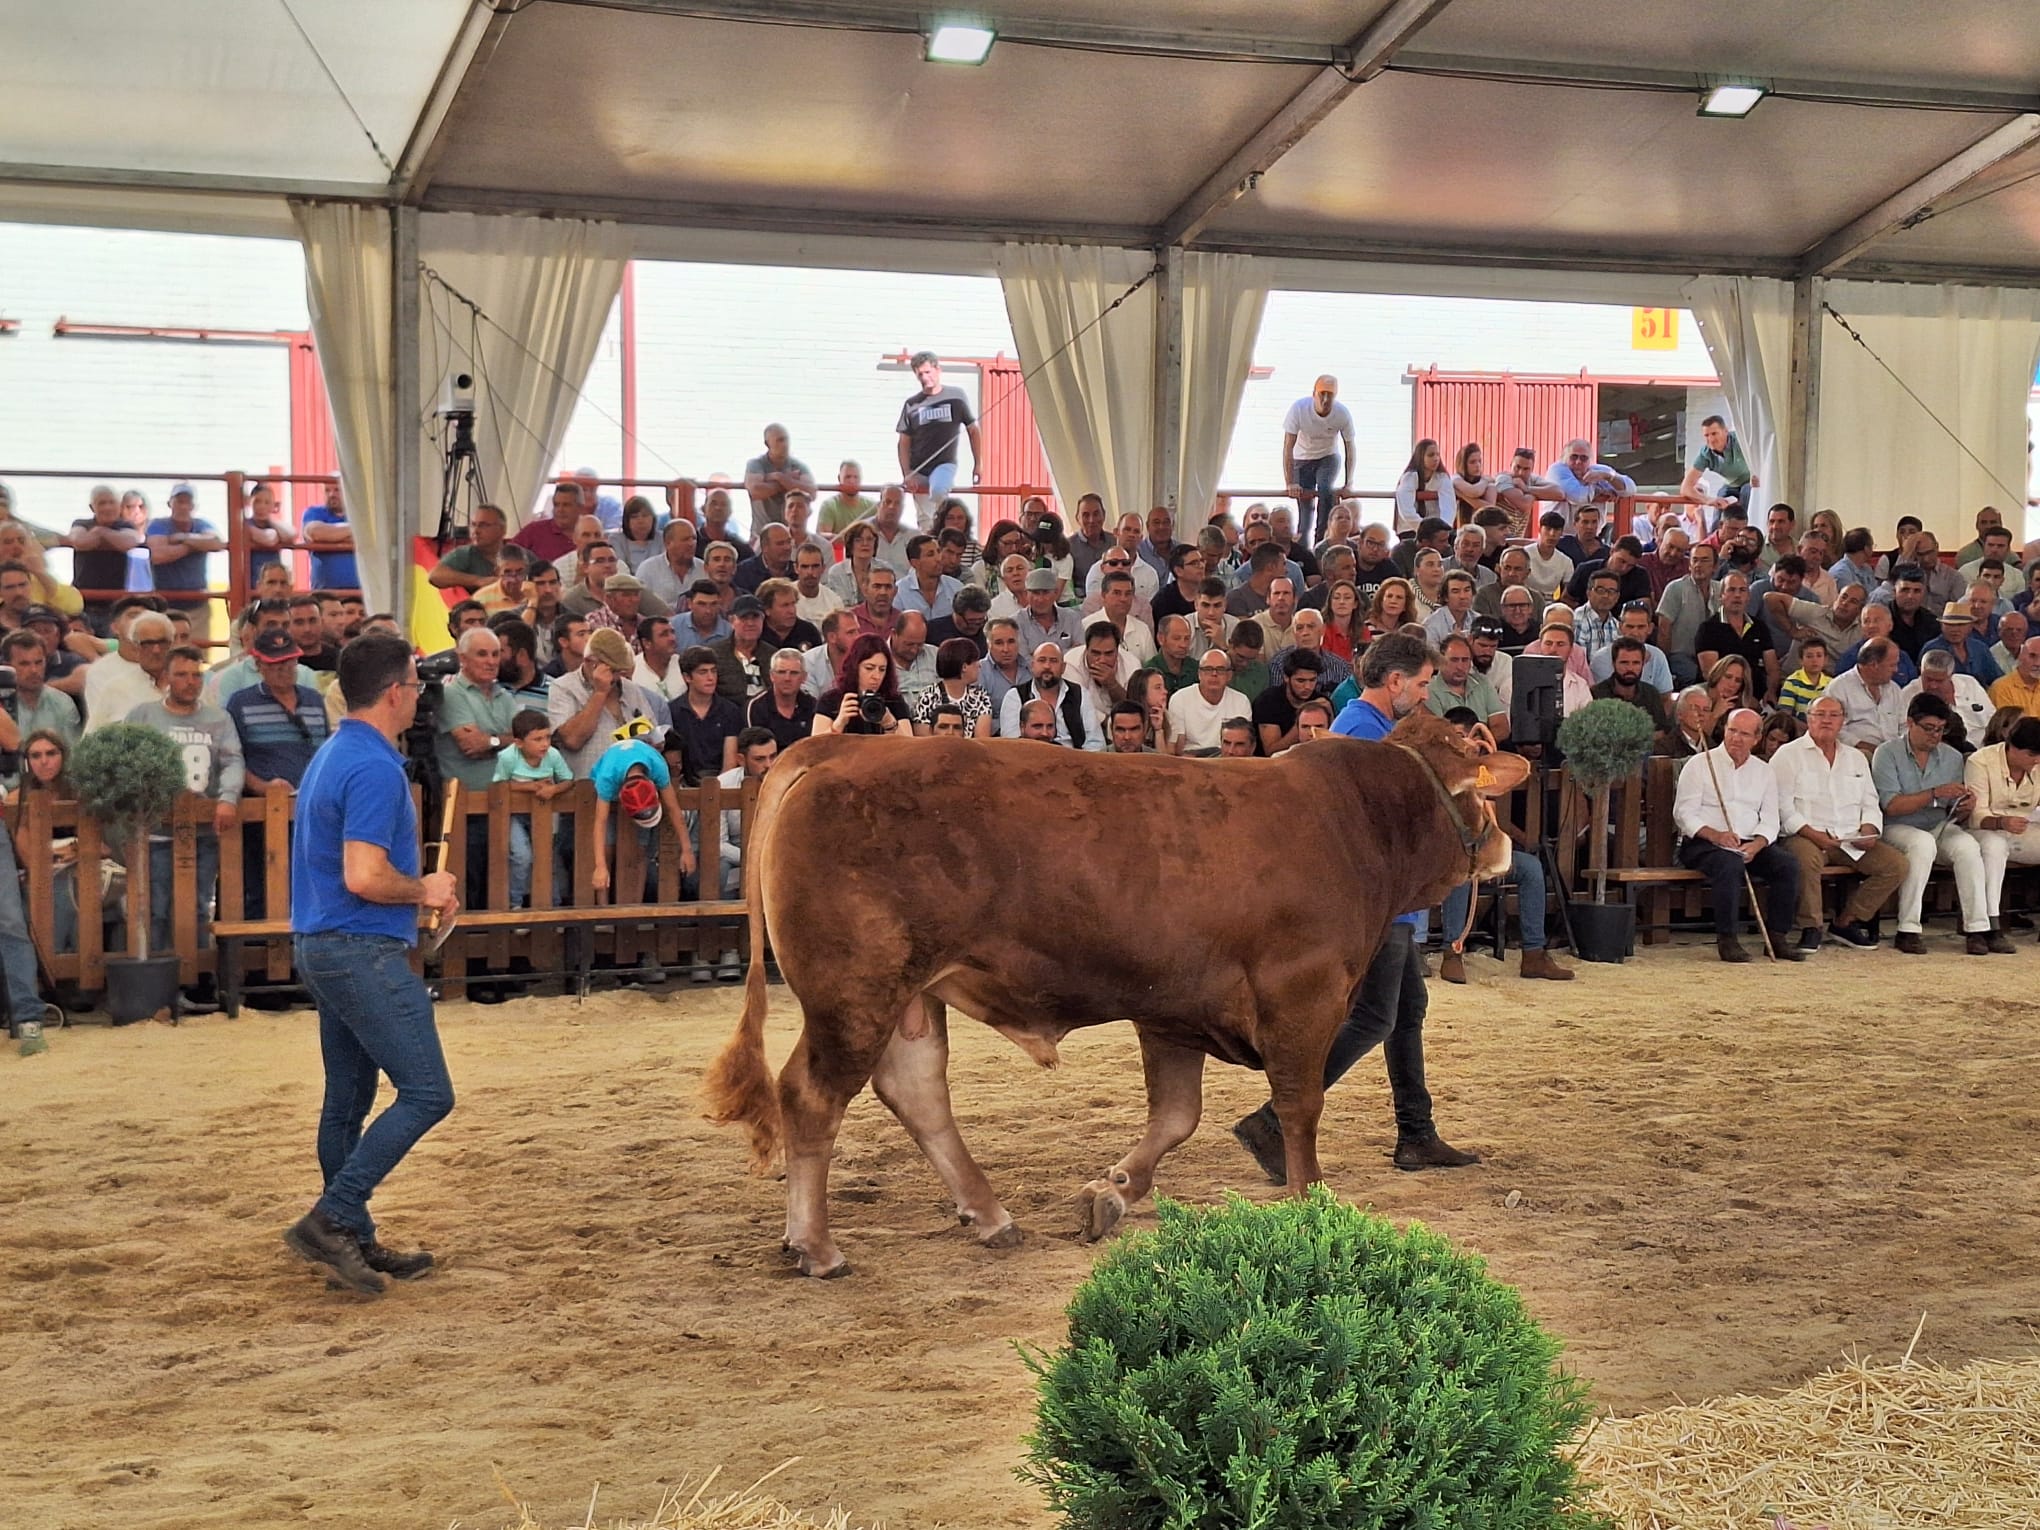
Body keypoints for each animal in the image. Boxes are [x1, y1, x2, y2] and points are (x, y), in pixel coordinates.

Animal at [709, 718, 1525, 1281]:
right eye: (1482, 789)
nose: (1503, 844)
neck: (1355, 819)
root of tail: (838, 748)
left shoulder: (1173, 1009)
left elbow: (1176, 1115)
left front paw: (1115, 1189)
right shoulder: (1305, 996)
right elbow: (1299, 1105)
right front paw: (1310, 1198)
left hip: (912, 994)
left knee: (916, 1090)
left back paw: (990, 1215)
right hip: (855, 992)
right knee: (811, 1095)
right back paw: (817, 1245)